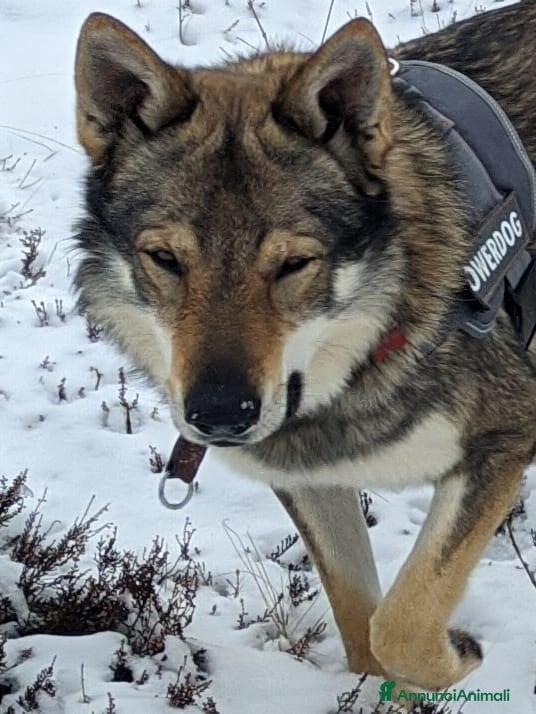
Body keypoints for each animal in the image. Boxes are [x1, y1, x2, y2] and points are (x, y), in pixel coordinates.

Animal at [73, 2, 536, 691]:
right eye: (165, 260)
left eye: (294, 264)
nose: (220, 415)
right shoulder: (311, 480)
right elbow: (363, 628)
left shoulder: (504, 439)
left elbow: (401, 624)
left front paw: (460, 656)